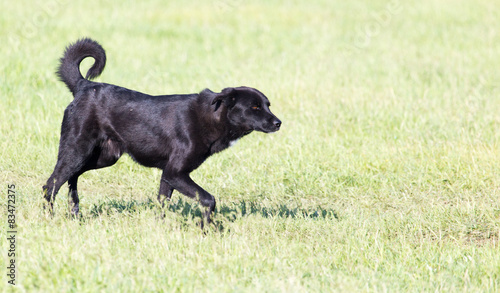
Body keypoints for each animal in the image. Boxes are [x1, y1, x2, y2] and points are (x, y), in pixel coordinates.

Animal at [43, 38, 282, 226]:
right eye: (254, 107)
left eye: (268, 105)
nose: (279, 123)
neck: (213, 116)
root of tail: (83, 86)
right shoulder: (175, 172)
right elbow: (208, 199)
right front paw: (208, 229)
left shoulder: (168, 175)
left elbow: (162, 203)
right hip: (77, 151)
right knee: (51, 184)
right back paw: (48, 218)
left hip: (104, 157)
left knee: (72, 178)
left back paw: (75, 213)